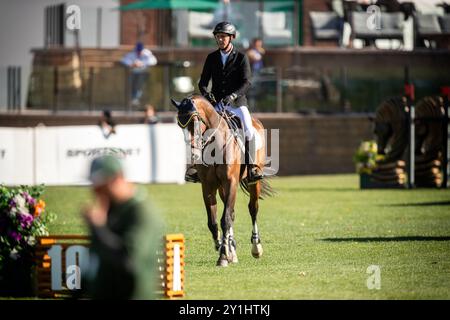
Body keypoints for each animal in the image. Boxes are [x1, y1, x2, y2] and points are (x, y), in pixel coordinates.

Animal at [171, 95, 272, 268]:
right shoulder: (208, 186)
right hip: (221, 188)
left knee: (252, 209)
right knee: (232, 212)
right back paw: (232, 250)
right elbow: (213, 222)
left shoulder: (230, 182)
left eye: (195, 120)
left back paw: (255, 247)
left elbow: (225, 219)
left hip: (252, 183)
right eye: (179, 124)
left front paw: (223, 255)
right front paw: (222, 247)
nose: (193, 153)